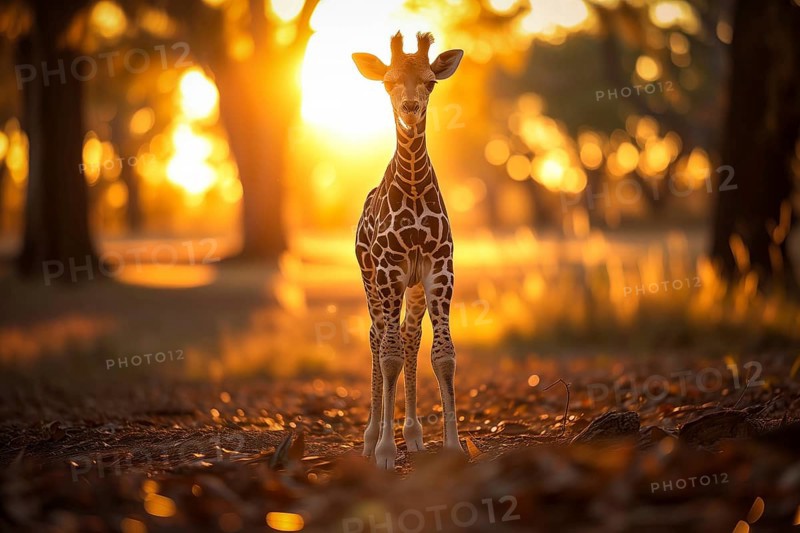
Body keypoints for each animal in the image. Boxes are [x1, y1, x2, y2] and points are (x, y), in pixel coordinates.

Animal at [352, 32, 464, 469]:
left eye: (430, 82)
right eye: (388, 82)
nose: (410, 108)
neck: (414, 187)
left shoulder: (439, 269)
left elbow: (443, 354)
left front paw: (453, 446)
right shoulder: (388, 271)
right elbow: (389, 355)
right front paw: (385, 452)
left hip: (411, 288)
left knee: (409, 336)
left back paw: (413, 435)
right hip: (371, 281)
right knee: (376, 336)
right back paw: (370, 440)